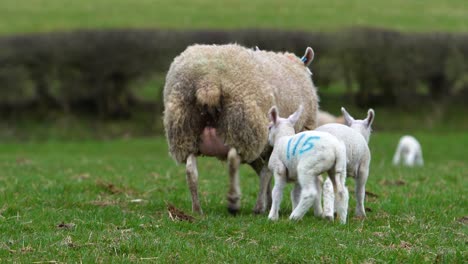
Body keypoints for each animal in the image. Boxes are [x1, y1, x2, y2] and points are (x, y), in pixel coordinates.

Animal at [163, 43, 320, 214]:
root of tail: (208, 83)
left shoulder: (260, 147)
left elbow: (262, 170)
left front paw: (267, 202)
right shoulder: (268, 143)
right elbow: (265, 172)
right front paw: (262, 206)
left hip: (185, 131)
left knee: (191, 170)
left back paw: (197, 209)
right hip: (241, 125)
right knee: (232, 161)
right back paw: (234, 201)